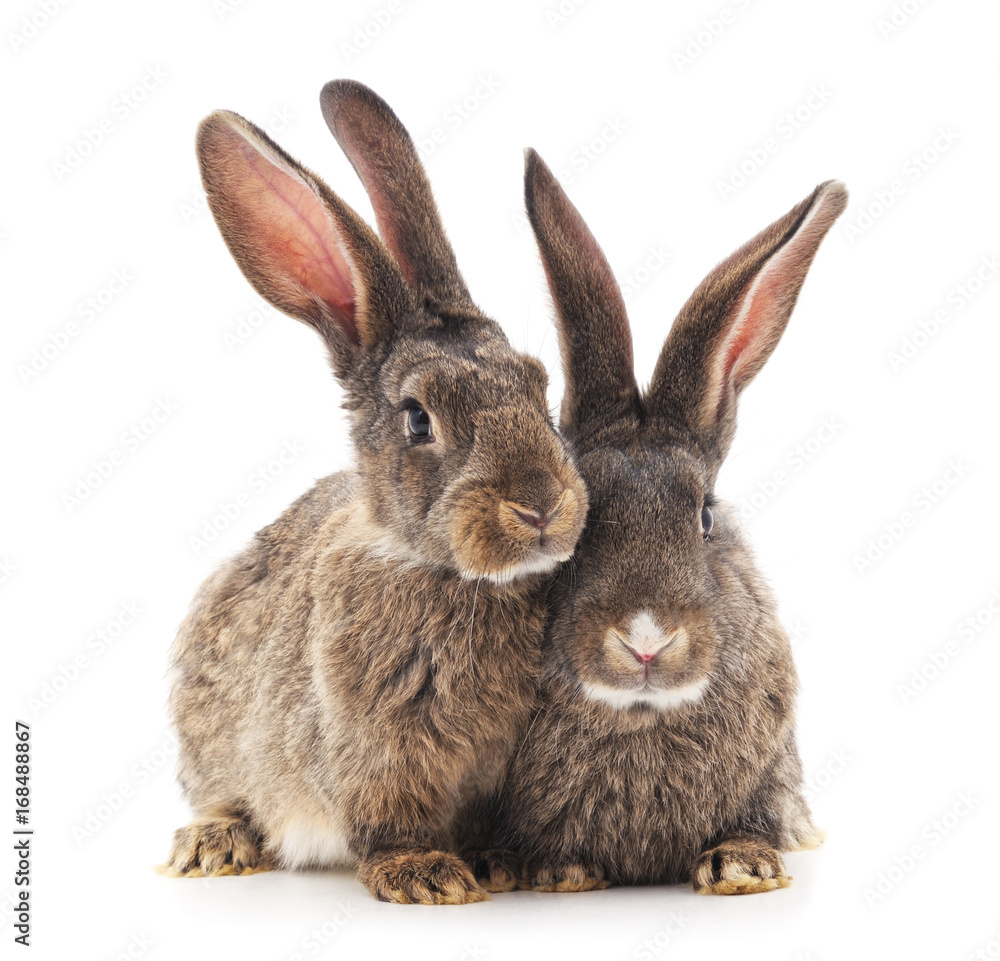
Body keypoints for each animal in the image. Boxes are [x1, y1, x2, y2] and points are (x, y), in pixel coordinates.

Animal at [165, 82, 588, 905]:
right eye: (418, 419)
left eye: (538, 386)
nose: (541, 504)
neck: (445, 571)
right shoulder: (376, 745)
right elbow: (390, 817)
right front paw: (424, 874)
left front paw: (503, 862)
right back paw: (215, 845)